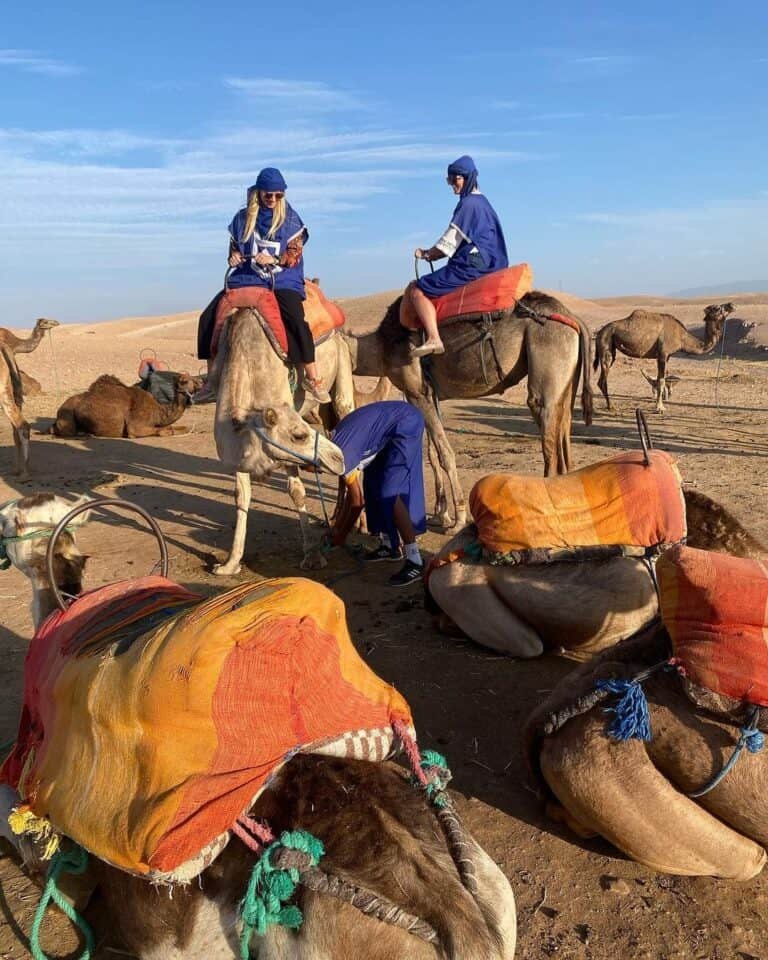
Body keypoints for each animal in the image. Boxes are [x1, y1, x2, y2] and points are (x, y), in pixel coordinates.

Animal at [49, 373, 196, 438]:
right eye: (185, 381)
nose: (200, 382)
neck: (159, 411)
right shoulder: (136, 424)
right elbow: (159, 430)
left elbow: (180, 427)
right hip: (66, 414)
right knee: (65, 430)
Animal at [210, 308, 353, 573]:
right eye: (299, 435)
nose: (337, 456)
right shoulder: (241, 455)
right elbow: (241, 495)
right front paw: (230, 563)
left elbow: (296, 491)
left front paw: (312, 556)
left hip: (342, 364)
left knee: (345, 407)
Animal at [343, 291, 594, 528]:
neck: (381, 347)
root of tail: (572, 317)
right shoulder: (428, 393)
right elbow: (431, 452)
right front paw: (441, 514)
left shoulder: (416, 390)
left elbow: (444, 453)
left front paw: (458, 519)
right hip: (567, 379)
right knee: (565, 427)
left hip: (546, 352)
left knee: (545, 427)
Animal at [594, 302, 734, 413]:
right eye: (717, 308)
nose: (731, 304)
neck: (682, 338)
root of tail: (599, 332)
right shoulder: (663, 354)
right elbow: (660, 381)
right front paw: (660, 408)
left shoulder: (666, 357)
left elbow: (661, 379)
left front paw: (660, 405)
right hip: (606, 344)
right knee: (602, 380)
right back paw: (611, 406)